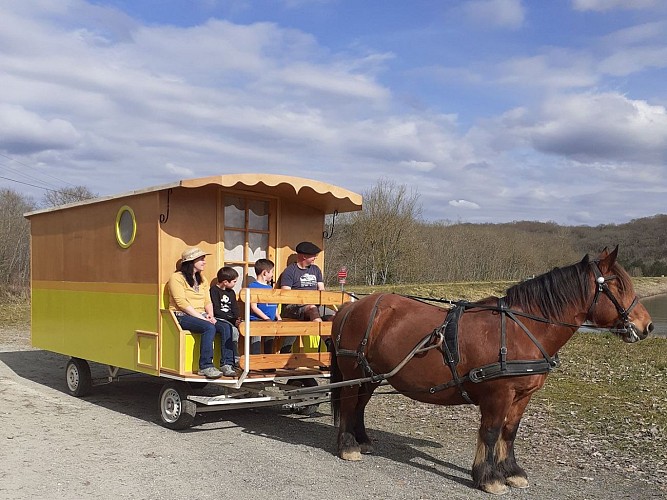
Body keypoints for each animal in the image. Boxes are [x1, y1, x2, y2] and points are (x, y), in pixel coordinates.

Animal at [332, 248, 656, 494]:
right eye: (617, 286)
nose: (648, 326)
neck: (519, 331)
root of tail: (352, 306)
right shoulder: (498, 394)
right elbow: (490, 432)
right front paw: (488, 477)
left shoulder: (522, 396)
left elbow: (509, 432)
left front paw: (511, 471)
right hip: (353, 374)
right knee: (348, 405)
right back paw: (348, 447)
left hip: (372, 376)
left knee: (359, 405)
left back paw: (362, 440)